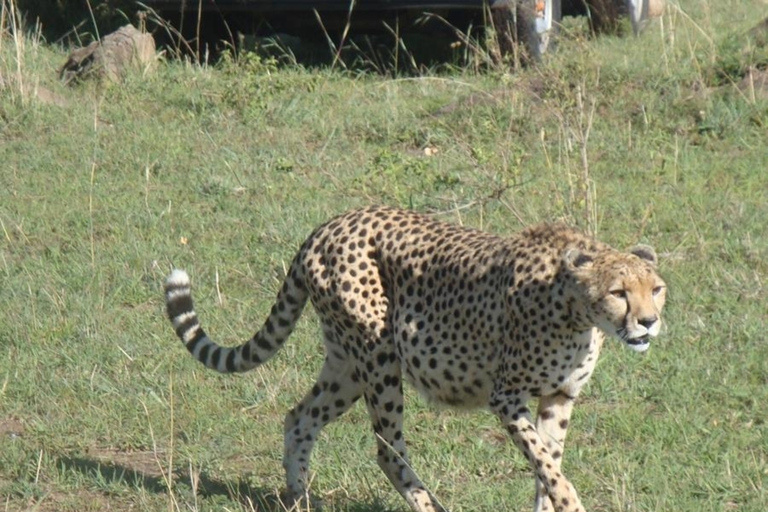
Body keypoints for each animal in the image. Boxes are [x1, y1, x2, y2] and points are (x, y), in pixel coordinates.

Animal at [166, 206, 664, 512]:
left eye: (656, 288)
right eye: (619, 292)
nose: (649, 322)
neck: (576, 310)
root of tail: (329, 225)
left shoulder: (559, 396)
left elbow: (549, 464)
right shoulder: (506, 396)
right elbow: (545, 463)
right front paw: (572, 503)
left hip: (347, 364)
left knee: (300, 417)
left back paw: (299, 497)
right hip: (378, 356)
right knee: (387, 450)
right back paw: (429, 506)